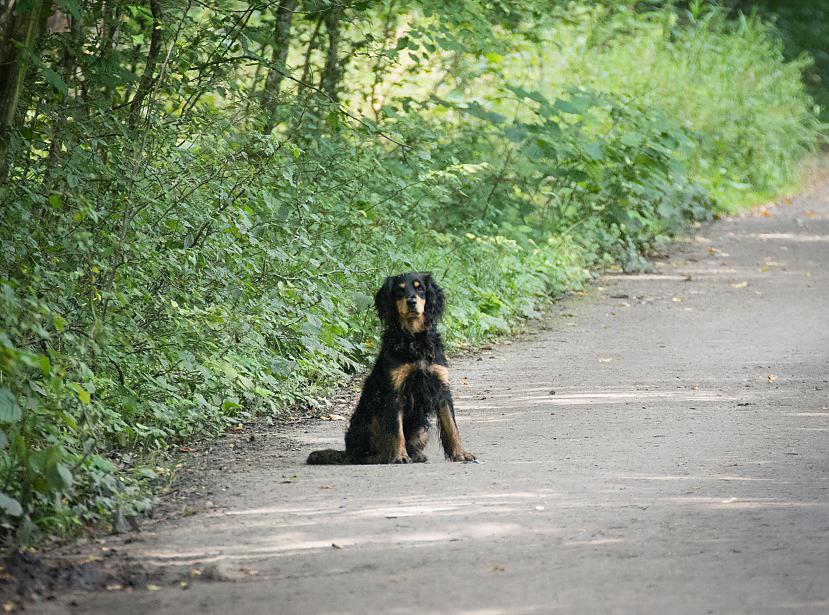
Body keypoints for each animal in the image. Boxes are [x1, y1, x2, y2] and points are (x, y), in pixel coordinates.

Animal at [304, 272, 476, 464]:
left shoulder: (441, 387)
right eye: (399, 291)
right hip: (372, 417)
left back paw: (416, 455)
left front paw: (460, 454)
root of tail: (347, 451)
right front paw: (399, 456)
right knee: (361, 456)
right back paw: (385, 456)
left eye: (420, 288)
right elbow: (396, 430)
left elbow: (451, 426)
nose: (411, 302)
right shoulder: (394, 391)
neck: (414, 338)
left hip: (422, 427)